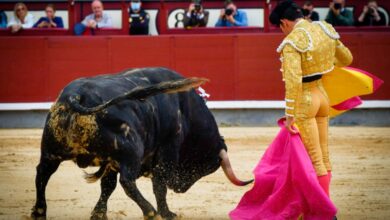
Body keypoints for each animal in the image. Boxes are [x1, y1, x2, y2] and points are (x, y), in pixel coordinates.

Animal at [31, 68, 253, 219]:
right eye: (207, 166)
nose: (179, 187)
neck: (186, 109)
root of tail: (76, 96)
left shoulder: (111, 161)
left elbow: (107, 186)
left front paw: (99, 214)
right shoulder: (168, 148)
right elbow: (159, 183)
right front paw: (167, 213)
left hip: (50, 152)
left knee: (42, 174)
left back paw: (39, 211)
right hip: (132, 151)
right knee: (128, 182)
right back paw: (150, 211)